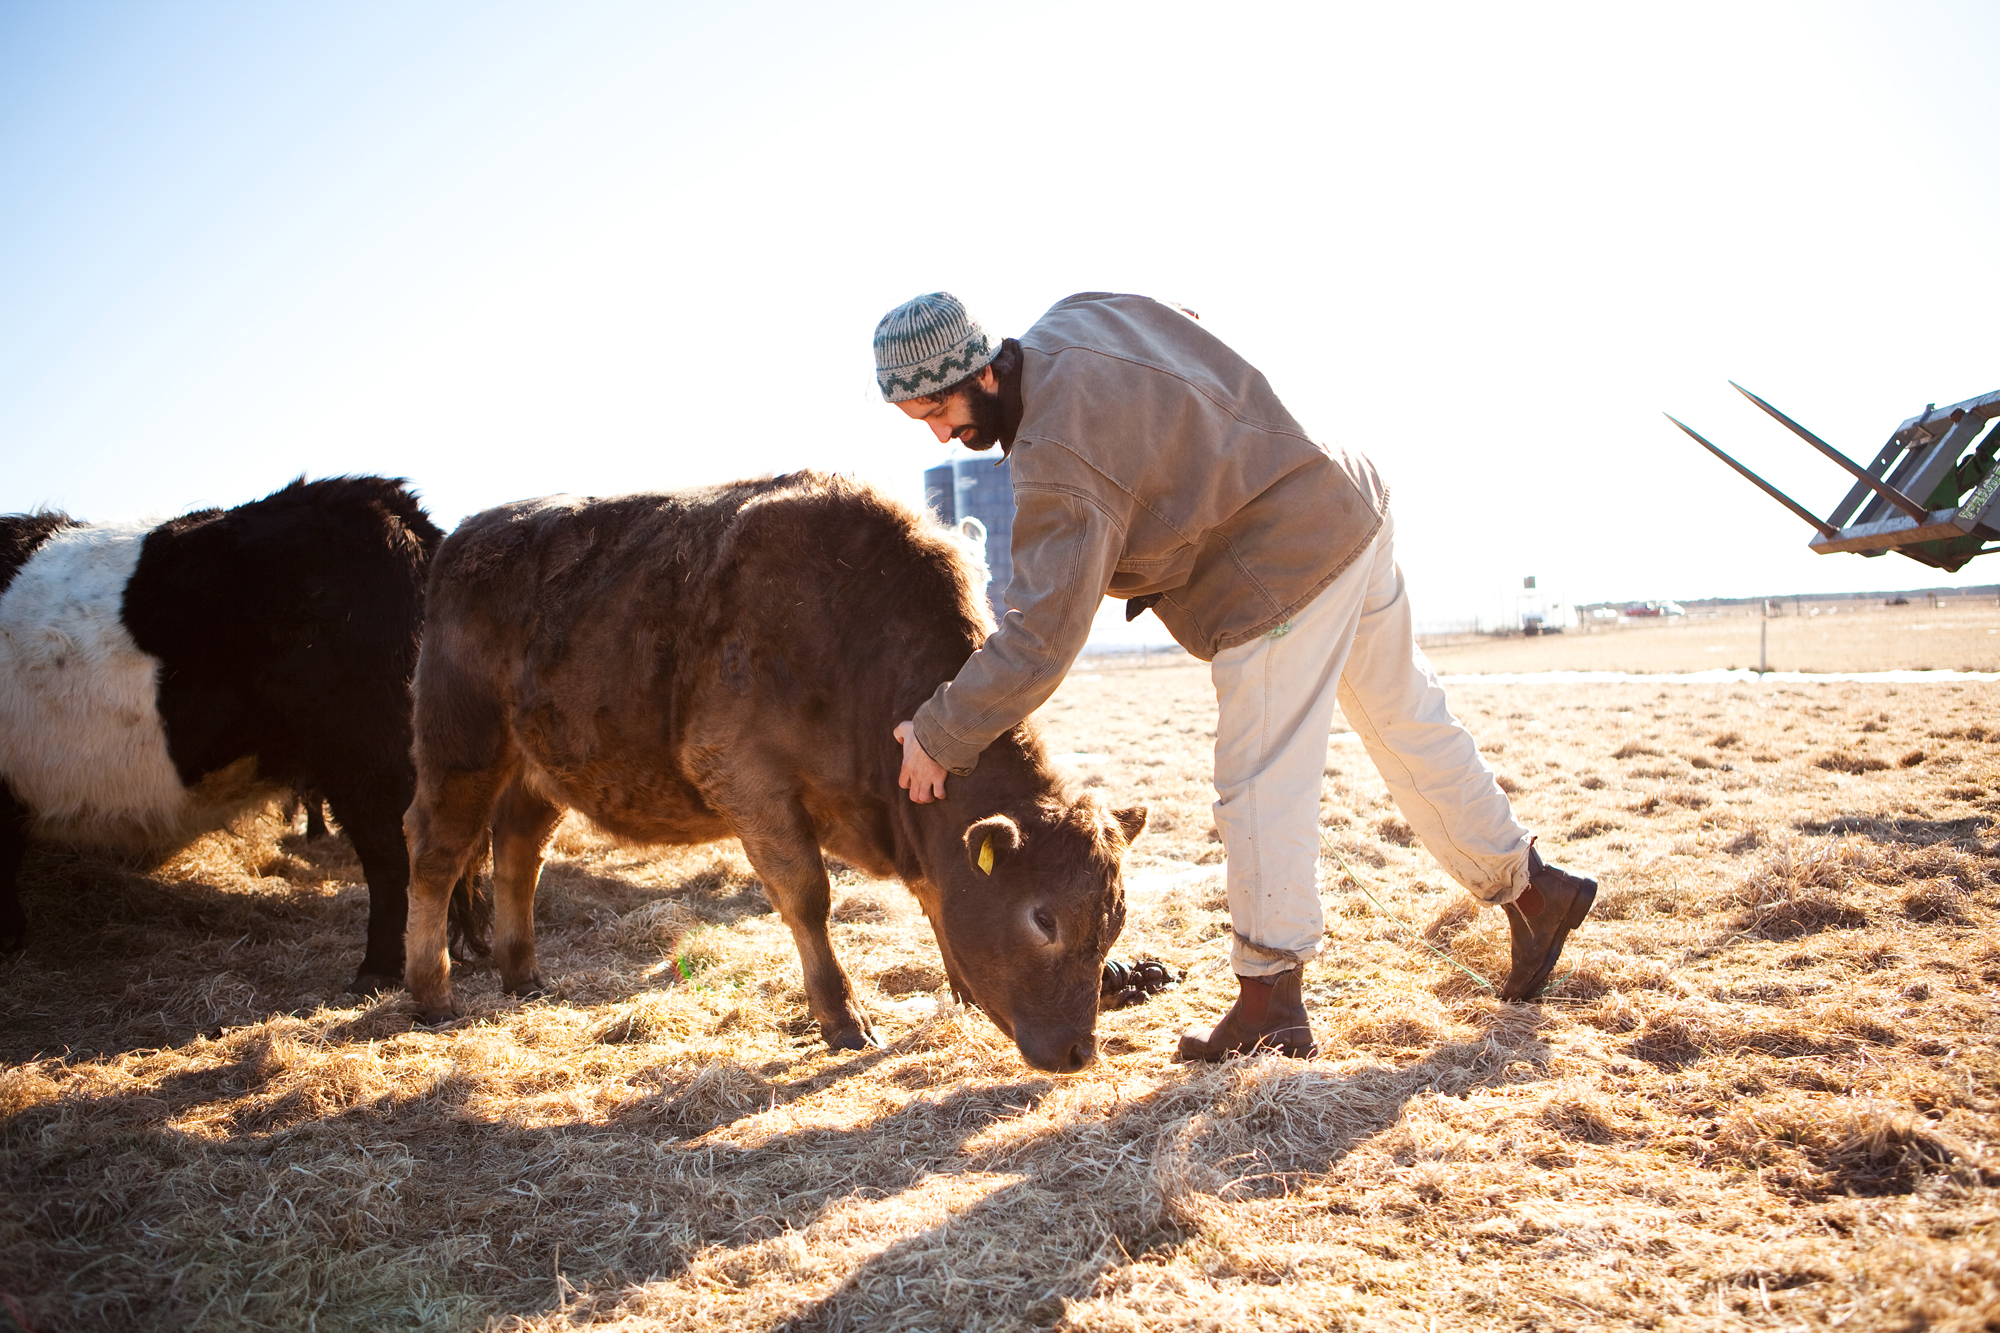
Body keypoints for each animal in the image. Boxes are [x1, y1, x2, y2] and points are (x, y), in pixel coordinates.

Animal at [402, 471, 1146, 1073]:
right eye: (1043, 919)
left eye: (1113, 923)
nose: (1078, 1052)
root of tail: (467, 534)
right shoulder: (749, 783)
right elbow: (809, 898)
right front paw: (844, 1019)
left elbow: (935, 894)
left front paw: (959, 990)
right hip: (460, 746)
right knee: (436, 854)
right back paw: (431, 992)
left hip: (538, 769)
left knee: (517, 854)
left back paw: (522, 974)